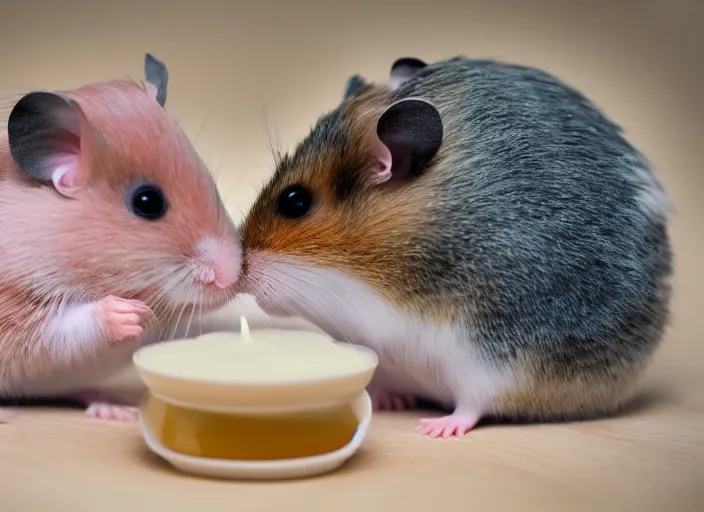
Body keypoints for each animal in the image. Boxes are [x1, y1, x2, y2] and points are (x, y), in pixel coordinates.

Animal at [0, 54, 242, 422]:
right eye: (147, 202)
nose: (233, 278)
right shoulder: (17, 321)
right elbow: (64, 329)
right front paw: (127, 313)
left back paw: (115, 409)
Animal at [235, 58, 672, 438]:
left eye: (295, 201)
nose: (238, 273)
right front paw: (389, 400)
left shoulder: (495, 354)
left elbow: (475, 402)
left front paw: (433, 430)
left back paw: (439, 425)